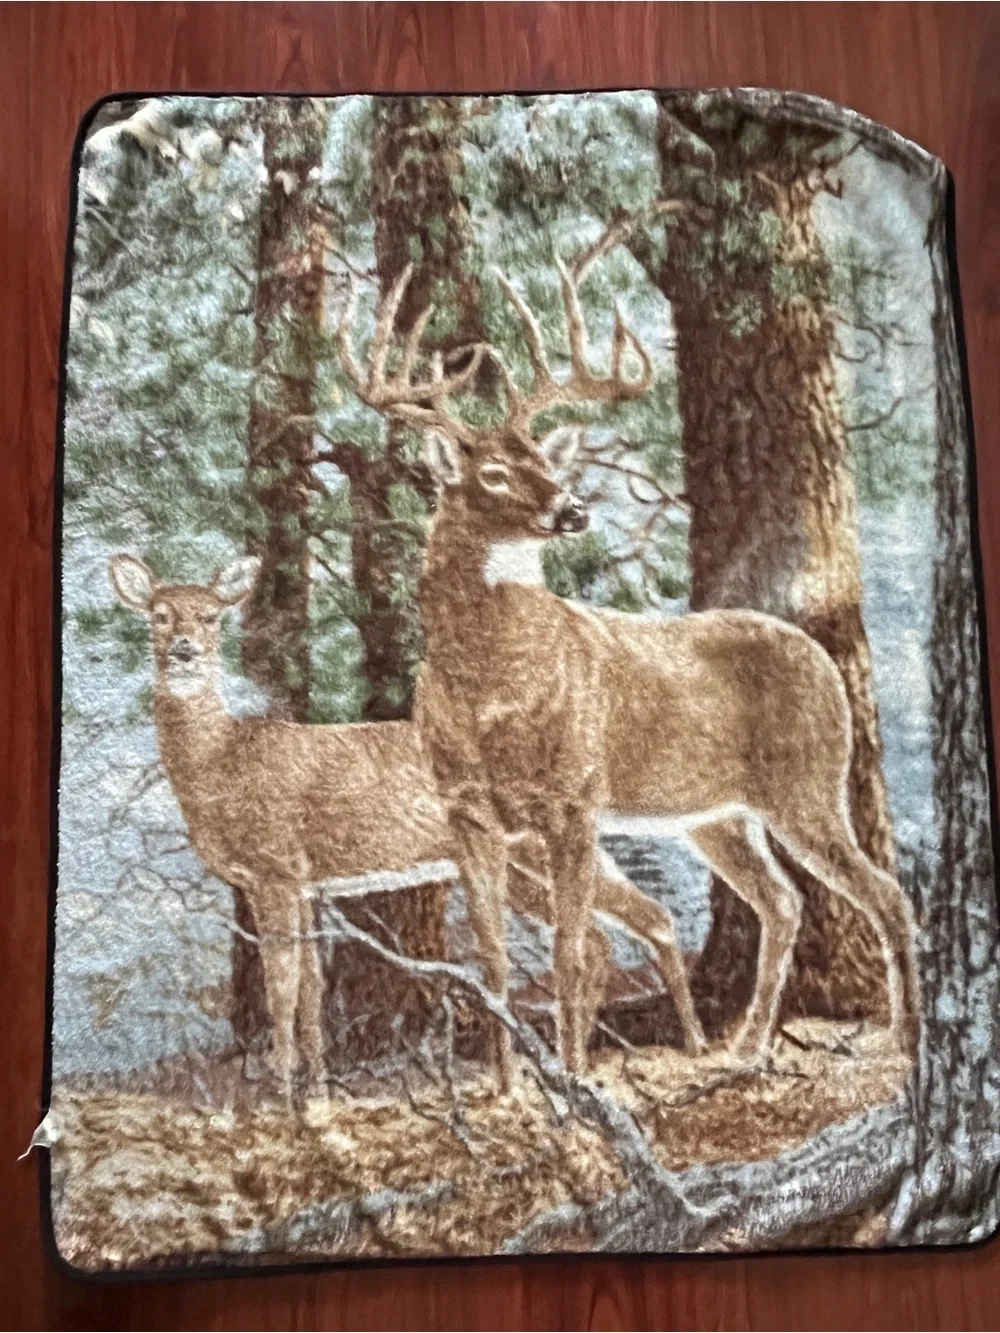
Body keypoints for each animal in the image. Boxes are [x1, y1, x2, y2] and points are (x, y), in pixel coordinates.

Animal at [108, 553, 704, 1094]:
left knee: (649, 918)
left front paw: (281, 1097)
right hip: (519, 864)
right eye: (159, 615)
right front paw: (317, 1091)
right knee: (601, 937)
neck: (224, 764)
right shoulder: (303, 881)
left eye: (212, 617)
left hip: (538, 844)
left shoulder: (272, 867)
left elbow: (282, 987)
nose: (183, 649)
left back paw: (688, 1047)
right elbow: (310, 989)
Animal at [336, 256, 921, 1090]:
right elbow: (493, 961)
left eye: (547, 461)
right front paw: (510, 1088)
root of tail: (821, 659)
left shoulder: (576, 795)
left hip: (807, 783)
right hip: (719, 814)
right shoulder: (466, 809)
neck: (490, 693)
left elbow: (571, 949)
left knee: (885, 893)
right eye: (493, 473)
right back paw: (746, 1046)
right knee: (783, 901)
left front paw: (576, 1078)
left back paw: (904, 1038)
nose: (572, 510)